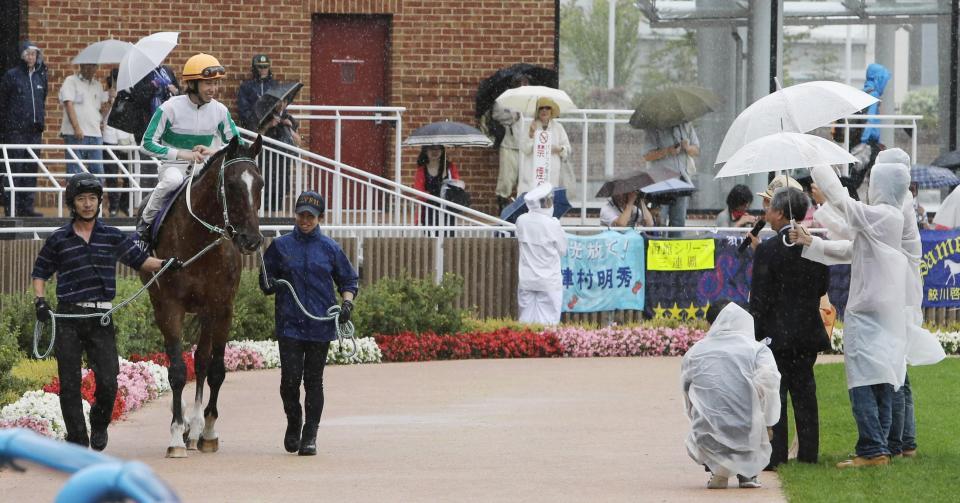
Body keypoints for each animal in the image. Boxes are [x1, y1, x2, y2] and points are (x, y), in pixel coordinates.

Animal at [141, 136, 264, 458]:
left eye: (259, 184)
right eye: (231, 184)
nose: (251, 240)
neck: (198, 239)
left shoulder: (222, 307)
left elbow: (215, 368)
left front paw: (206, 431)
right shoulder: (170, 307)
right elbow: (176, 370)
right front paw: (175, 433)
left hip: (206, 313)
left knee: (201, 361)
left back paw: (194, 427)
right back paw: (184, 424)